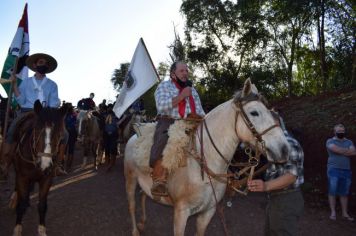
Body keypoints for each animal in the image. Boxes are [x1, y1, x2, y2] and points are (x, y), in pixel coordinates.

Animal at [11, 101, 67, 236]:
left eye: (59, 134)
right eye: (36, 130)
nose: (45, 165)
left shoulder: (47, 179)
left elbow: (42, 205)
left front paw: (42, 229)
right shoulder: (22, 177)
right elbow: (21, 204)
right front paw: (17, 228)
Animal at [124, 79, 288, 236]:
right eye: (254, 112)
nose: (284, 149)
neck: (204, 164)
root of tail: (133, 137)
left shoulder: (208, 211)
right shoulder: (181, 213)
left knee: (144, 196)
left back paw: (143, 222)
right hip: (130, 179)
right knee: (131, 205)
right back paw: (135, 231)